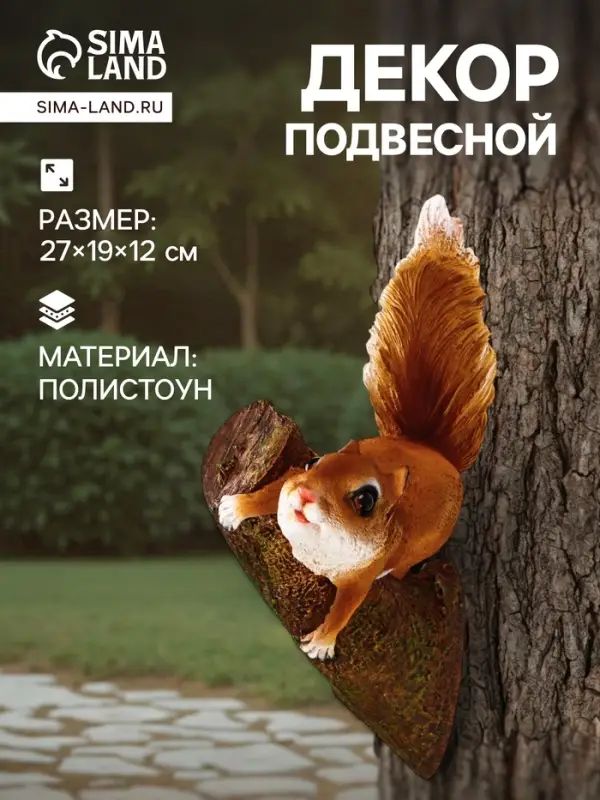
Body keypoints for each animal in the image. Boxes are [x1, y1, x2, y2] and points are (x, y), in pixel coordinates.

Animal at [218, 195, 496, 662]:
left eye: (366, 500)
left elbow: (345, 607)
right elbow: (272, 492)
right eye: (312, 461)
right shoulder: (288, 483)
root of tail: (431, 451)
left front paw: (321, 642)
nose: (306, 497)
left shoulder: (359, 577)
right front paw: (236, 507)